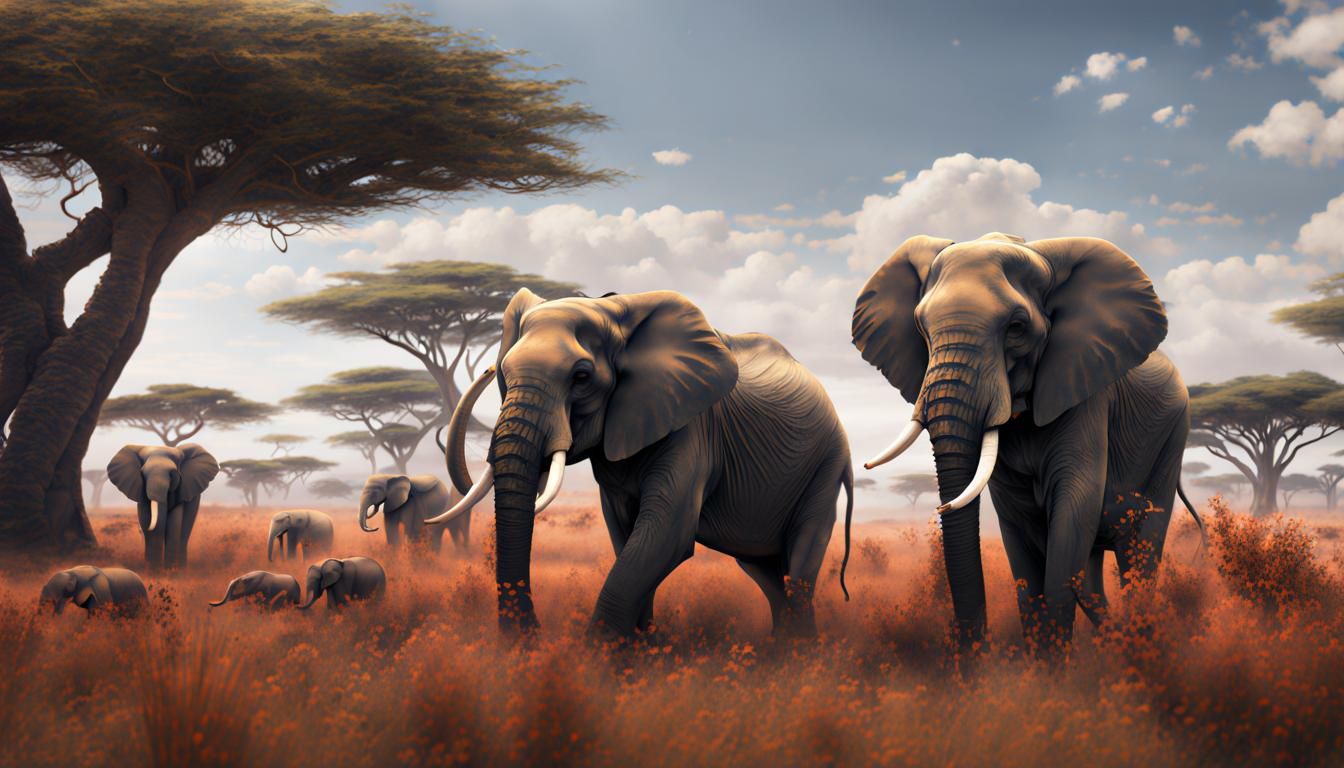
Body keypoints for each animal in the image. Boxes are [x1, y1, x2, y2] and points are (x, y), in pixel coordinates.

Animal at [431, 288, 853, 639]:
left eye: (581, 377)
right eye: (503, 372)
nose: (532, 639)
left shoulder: (691, 425)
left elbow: (666, 535)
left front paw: (598, 663)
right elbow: (626, 536)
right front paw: (639, 655)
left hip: (825, 466)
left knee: (799, 568)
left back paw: (798, 660)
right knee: (767, 573)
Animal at [852, 232, 1202, 658]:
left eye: (1016, 327)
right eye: (921, 326)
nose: (941, 507)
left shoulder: (1083, 395)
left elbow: (1071, 515)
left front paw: (1052, 671)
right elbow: (1022, 539)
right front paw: (1039, 669)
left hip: (1172, 439)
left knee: (1140, 556)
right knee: (1091, 576)